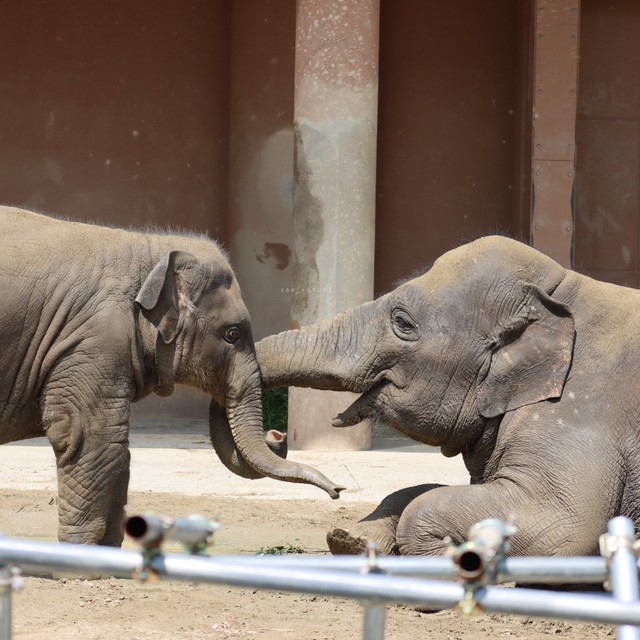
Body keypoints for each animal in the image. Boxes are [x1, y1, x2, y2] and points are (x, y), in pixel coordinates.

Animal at [0, 205, 342, 544]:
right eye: (232, 334)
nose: (339, 490)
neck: (151, 250)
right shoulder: (95, 341)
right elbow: (88, 437)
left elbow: (118, 451)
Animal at [255, 236, 640, 560]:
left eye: (402, 322)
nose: (337, 490)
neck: (563, 289)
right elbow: (431, 489)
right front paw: (351, 541)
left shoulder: (576, 410)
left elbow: (561, 528)